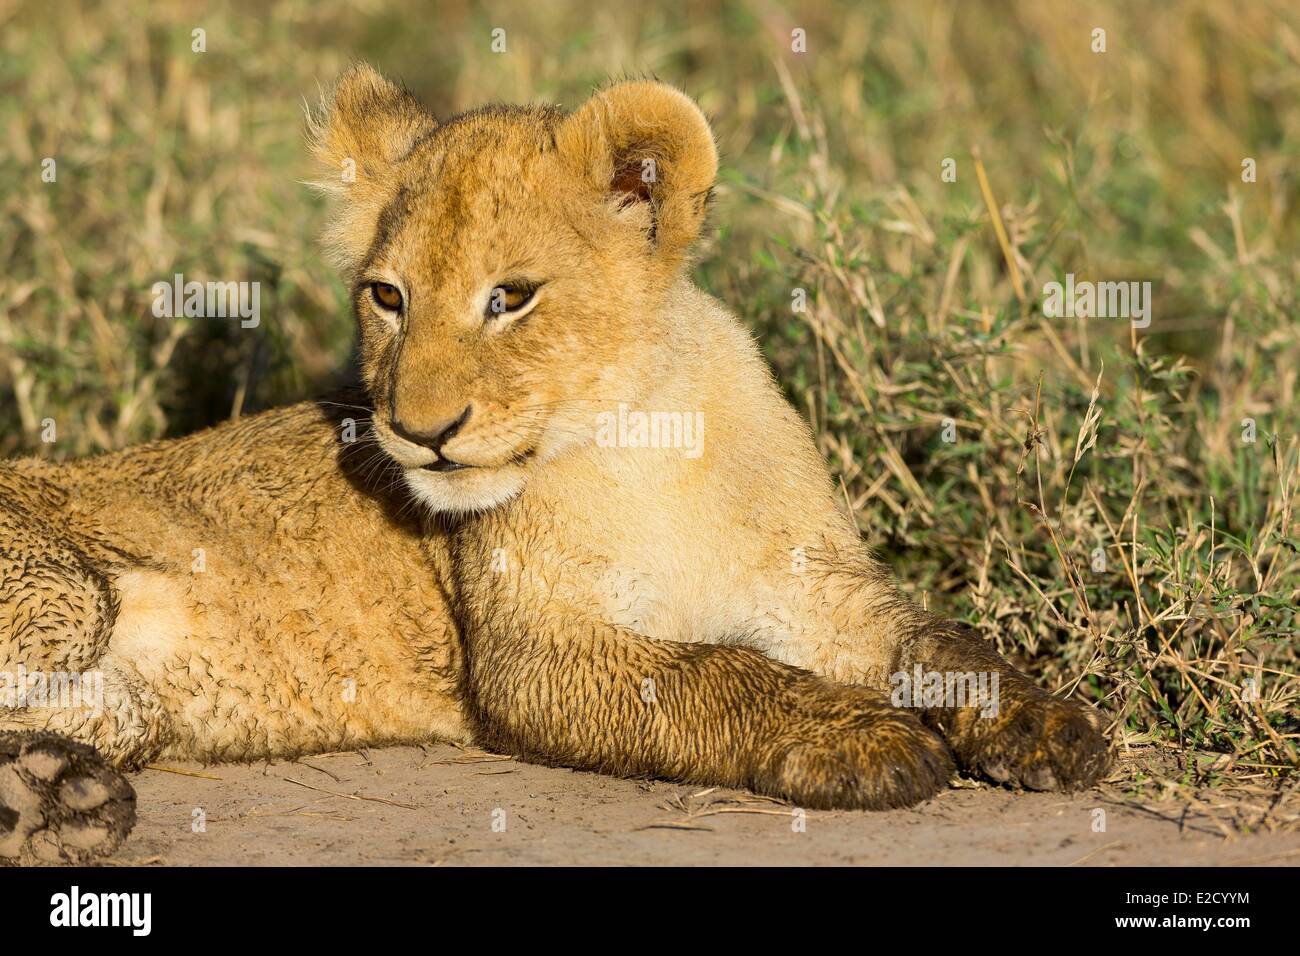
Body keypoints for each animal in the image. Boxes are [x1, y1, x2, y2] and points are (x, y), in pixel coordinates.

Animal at [0, 64, 1107, 864]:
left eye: (511, 296)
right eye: (388, 296)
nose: (418, 428)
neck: (646, 443)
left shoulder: (817, 587)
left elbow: (941, 642)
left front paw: (1051, 723)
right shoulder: (527, 653)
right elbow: (714, 674)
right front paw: (866, 736)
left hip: (122, 700)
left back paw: (59, 799)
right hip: (69, 594)